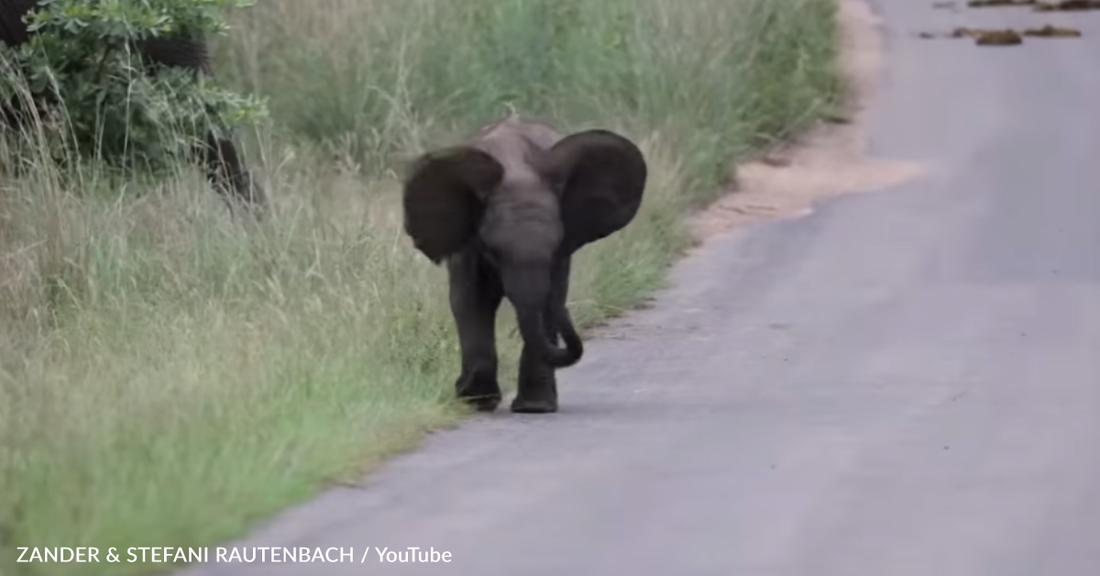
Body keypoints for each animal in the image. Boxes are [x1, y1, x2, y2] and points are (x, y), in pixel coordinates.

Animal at [402, 114, 642, 411]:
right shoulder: (468, 245)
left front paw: (534, 408)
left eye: (555, 247)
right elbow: (470, 300)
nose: (458, 389)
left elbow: (545, 303)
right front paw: (475, 401)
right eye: (493, 251)